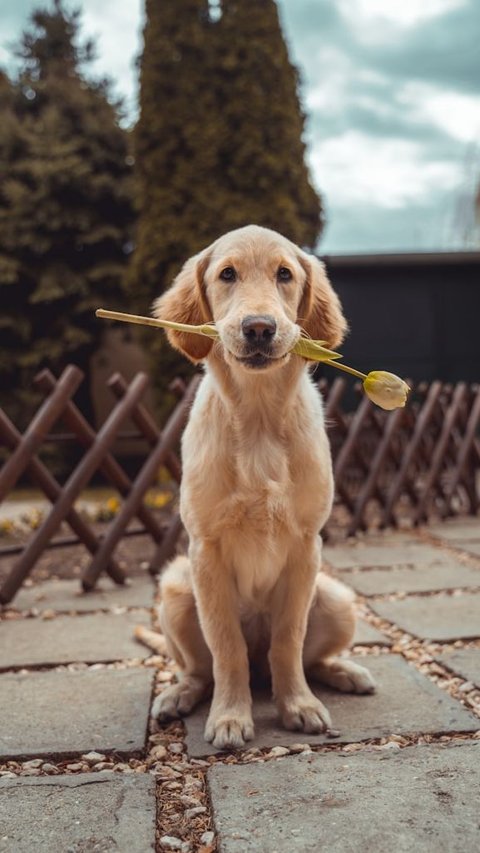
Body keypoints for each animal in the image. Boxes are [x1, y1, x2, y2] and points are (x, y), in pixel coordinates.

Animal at [150, 225, 376, 744]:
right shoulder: (206, 551)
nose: (258, 328)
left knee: (303, 659)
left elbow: (288, 641)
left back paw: (344, 672)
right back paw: (179, 695)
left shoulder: (305, 546)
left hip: (336, 598)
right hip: (175, 589)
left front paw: (298, 705)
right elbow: (226, 646)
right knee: (201, 669)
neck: (256, 419)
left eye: (285, 275)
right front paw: (231, 716)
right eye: (227, 274)